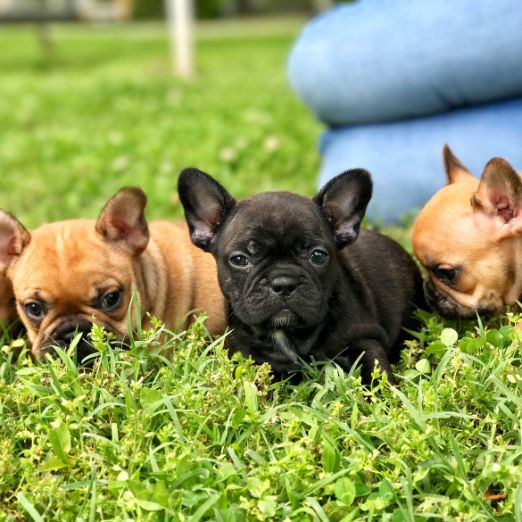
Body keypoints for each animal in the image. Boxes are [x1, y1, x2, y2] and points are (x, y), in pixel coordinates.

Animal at [177, 169, 420, 380]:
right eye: (239, 259)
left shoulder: (366, 341)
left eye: (318, 256)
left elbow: (377, 375)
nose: (284, 283)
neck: (287, 334)